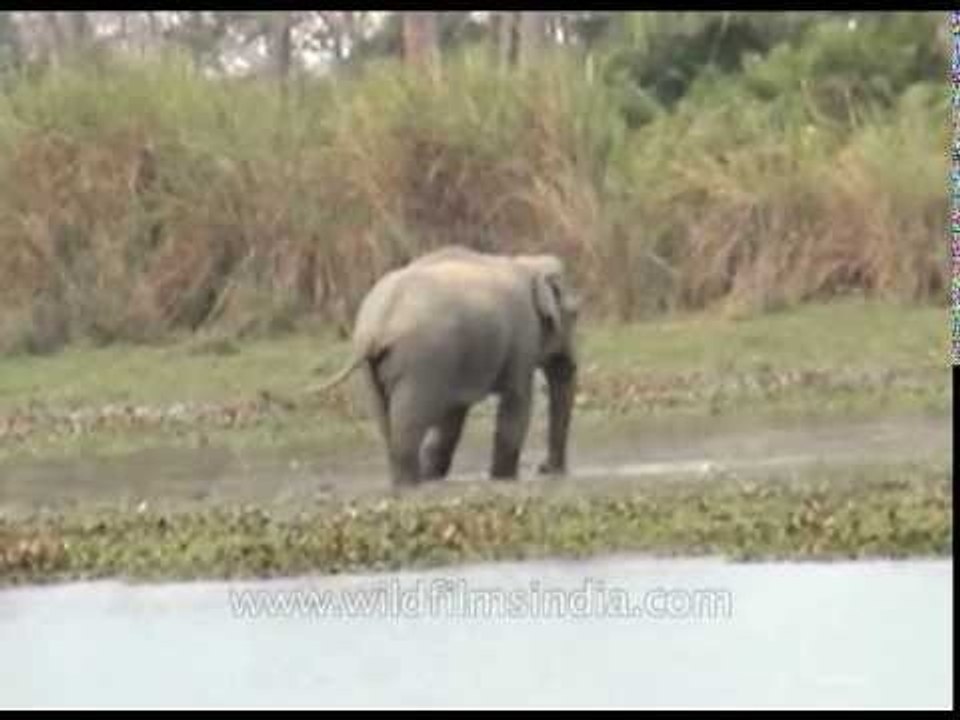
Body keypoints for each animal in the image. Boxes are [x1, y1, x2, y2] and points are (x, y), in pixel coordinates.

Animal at [313, 244, 580, 488]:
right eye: (576, 314)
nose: (546, 468)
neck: (527, 264)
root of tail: (378, 324)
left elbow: (453, 417)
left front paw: (436, 475)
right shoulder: (523, 336)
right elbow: (516, 404)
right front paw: (503, 479)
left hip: (374, 370)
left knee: (386, 420)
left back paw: (407, 482)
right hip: (419, 361)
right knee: (408, 421)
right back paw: (413, 484)